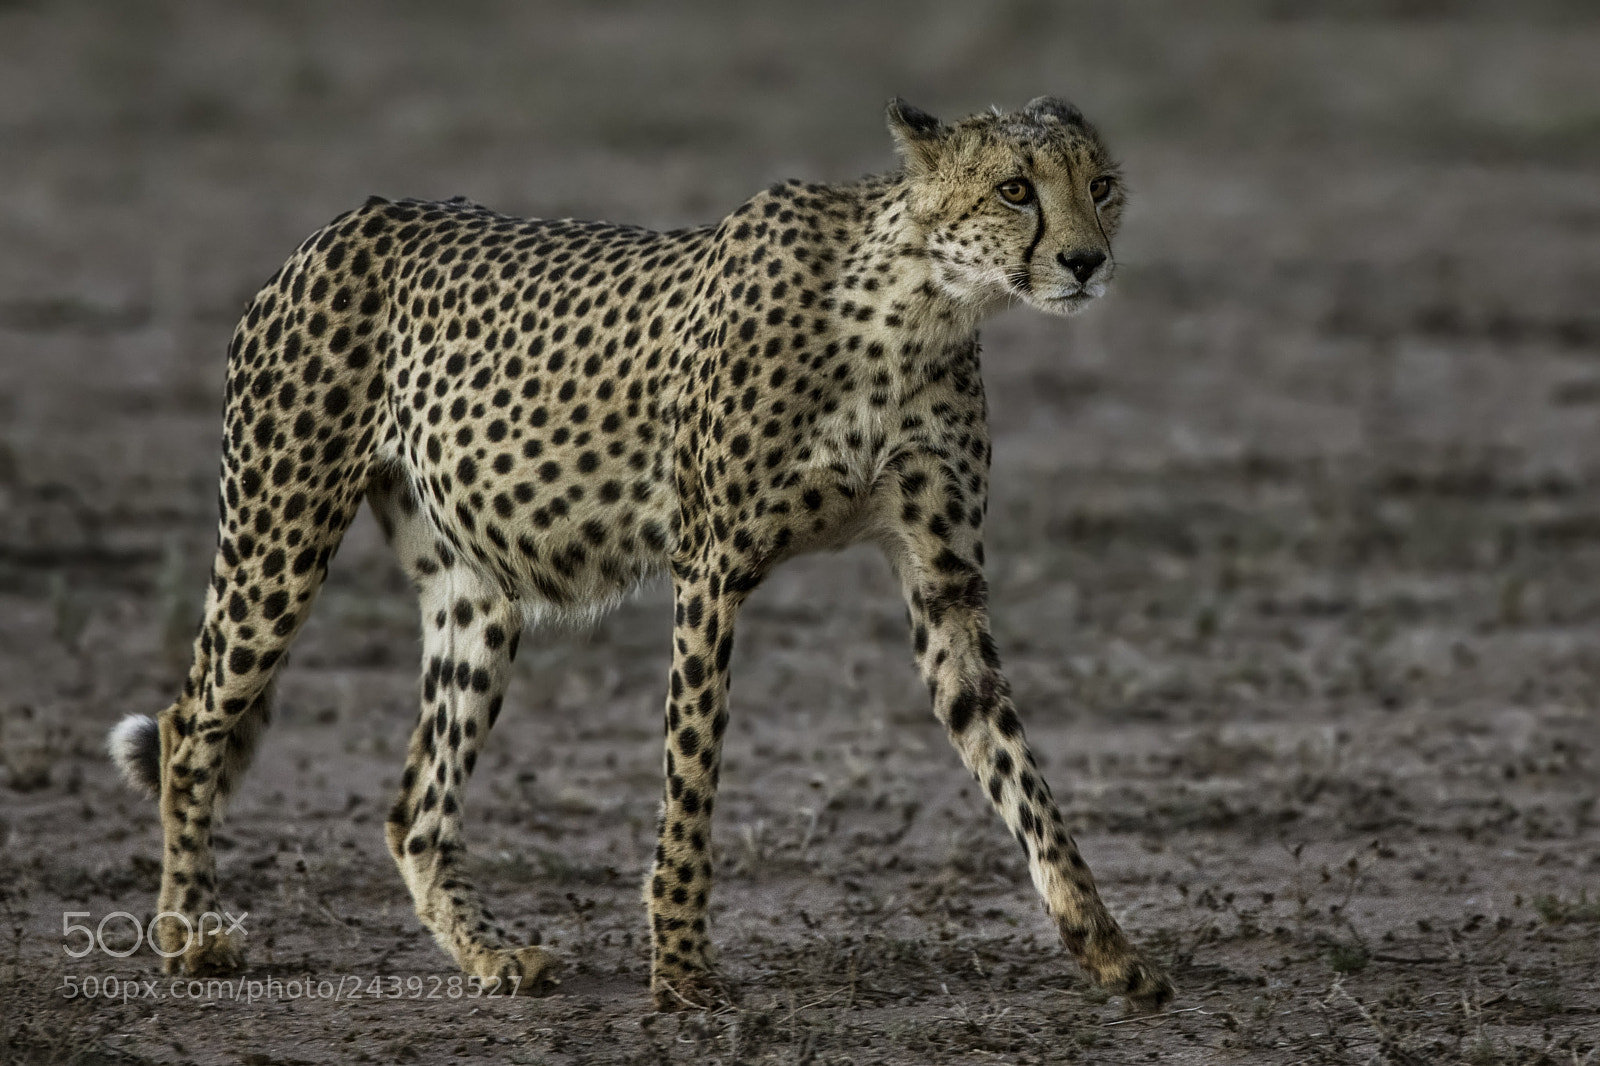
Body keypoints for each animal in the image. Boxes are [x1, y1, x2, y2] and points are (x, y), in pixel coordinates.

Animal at [109, 96, 1174, 1012]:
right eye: (1016, 189)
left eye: (1101, 184)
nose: (1086, 261)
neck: (919, 307)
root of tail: (341, 225)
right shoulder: (712, 570)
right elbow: (692, 773)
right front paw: (682, 968)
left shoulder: (943, 585)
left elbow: (1015, 767)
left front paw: (1108, 948)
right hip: (277, 542)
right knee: (189, 725)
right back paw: (188, 935)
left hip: (474, 589)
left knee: (415, 803)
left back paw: (490, 956)